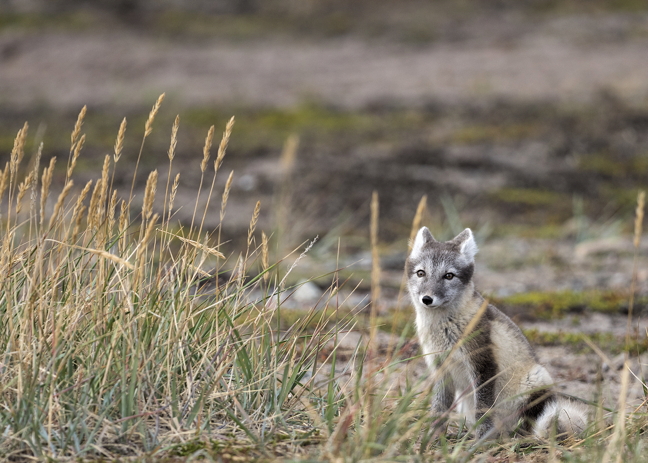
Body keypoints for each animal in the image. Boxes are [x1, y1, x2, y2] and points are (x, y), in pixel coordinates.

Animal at [407, 226, 588, 439]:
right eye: (421, 273)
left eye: (449, 276)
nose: (427, 299)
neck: (442, 328)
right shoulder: (440, 368)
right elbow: (439, 408)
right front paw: (433, 437)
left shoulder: (483, 364)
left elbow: (483, 409)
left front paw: (480, 439)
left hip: (535, 382)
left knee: (530, 424)